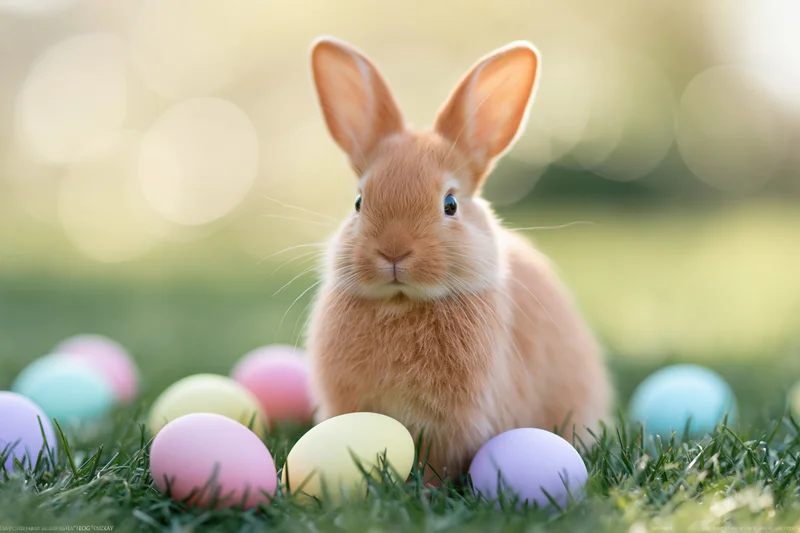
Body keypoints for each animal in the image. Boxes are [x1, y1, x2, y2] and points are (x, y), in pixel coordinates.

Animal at [303, 36, 613, 484]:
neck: (401, 302)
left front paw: (429, 488)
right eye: (359, 202)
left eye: (450, 204)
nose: (393, 251)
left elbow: (438, 460)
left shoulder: (452, 423)